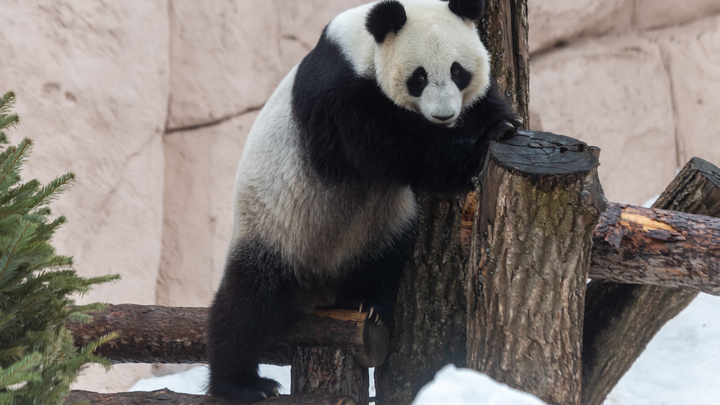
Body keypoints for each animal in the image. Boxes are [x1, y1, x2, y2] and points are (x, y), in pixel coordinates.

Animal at [208, 0, 524, 400]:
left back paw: (366, 301)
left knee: (385, 254)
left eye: (458, 71)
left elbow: (484, 104)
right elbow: (386, 144)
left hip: (376, 229)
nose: (444, 115)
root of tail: (316, 289)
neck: (363, 45)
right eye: (419, 77)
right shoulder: (336, 93)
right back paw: (243, 384)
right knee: (246, 303)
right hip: (273, 229)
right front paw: (475, 152)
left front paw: (504, 123)